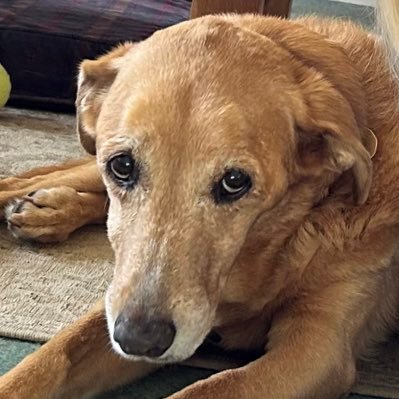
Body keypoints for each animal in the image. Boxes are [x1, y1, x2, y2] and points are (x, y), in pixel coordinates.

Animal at [0, 2, 399, 396]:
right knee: (29, 179)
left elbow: (209, 388)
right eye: (122, 165)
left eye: (235, 181)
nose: (139, 340)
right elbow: (51, 358)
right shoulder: (121, 302)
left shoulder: (317, 348)